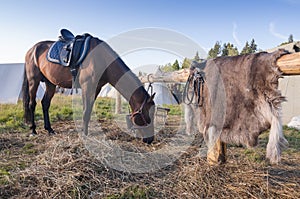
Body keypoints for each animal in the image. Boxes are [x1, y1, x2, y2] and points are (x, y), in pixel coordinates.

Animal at [22, 33, 156, 143]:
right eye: (147, 113)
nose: (150, 139)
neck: (102, 59)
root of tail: (31, 50)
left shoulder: (96, 88)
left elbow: (89, 110)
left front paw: (85, 130)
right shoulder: (87, 87)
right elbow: (86, 111)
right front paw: (84, 134)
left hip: (51, 83)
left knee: (45, 103)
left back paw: (49, 129)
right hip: (34, 81)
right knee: (32, 104)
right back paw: (33, 130)